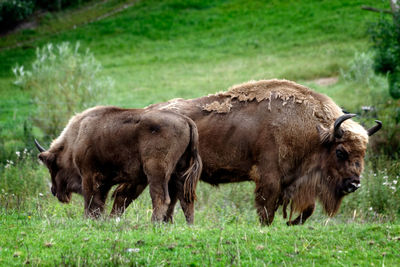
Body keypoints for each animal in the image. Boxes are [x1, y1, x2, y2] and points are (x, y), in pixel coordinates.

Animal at [34, 107, 202, 224]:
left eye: (53, 167)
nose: (54, 191)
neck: (76, 138)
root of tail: (186, 121)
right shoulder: (104, 182)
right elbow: (101, 201)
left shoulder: (89, 175)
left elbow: (91, 200)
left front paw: (89, 219)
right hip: (179, 172)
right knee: (185, 199)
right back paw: (188, 225)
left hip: (157, 172)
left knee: (161, 197)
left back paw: (153, 223)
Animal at [112, 79, 382, 226]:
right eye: (341, 152)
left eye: (363, 153)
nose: (354, 184)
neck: (314, 132)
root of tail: (145, 111)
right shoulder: (269, 179)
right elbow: (266, 210)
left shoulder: (293, 182)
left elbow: (307, 210)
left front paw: (290, 223)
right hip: (146, 172)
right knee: (124, 196)